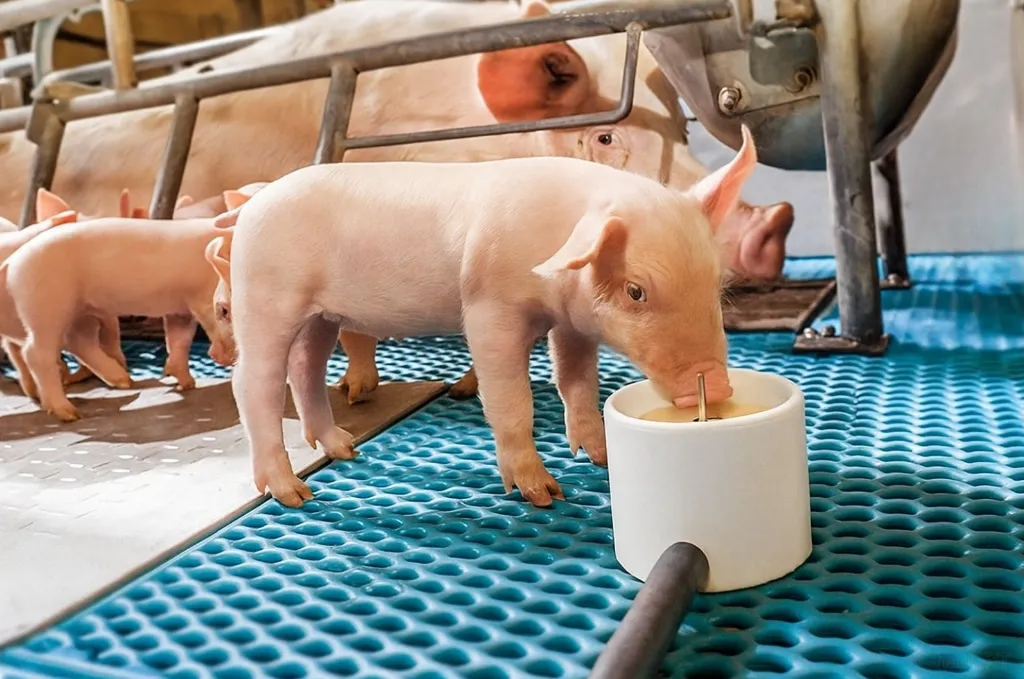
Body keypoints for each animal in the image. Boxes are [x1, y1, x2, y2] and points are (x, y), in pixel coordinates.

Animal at [1, 209, 238, 421]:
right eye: (223, 310)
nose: (215, 356)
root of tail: (13, 262)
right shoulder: (202, 297)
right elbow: (207, 324)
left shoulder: (179, 309)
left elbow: (179, 339)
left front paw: (186, 384)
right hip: (47, 308)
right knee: (36, 353)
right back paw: (69, 414)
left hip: (79, 313)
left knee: (79, 343)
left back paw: (124, 382)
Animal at [226, 125, 759, 509]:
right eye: (636, 291)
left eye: (717, 286)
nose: (715, 384)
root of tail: (254, 202)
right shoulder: (488, 309)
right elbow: (511, 398)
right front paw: (544, 494)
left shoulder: (571, 321)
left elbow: (577, 384)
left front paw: (602, 457)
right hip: (266, 294)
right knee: (253, 382)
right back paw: (294, 494)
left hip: (324, 316)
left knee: (306, 367)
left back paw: (345, 448)